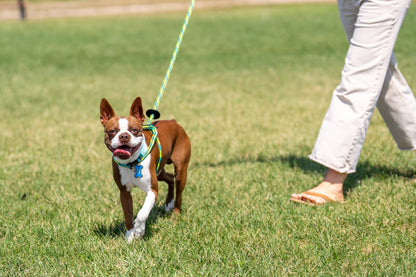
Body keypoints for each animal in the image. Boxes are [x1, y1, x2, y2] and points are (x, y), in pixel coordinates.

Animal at [100, 98, 191, 240]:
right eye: (113, 131)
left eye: (134, 130)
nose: (124, 136)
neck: (132, 163)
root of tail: (173, 122)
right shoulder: (124, 192)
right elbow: (128, 215)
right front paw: (130, 238)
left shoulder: (152, 190)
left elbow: (142, 213)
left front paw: (139, 230)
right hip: (159, 170)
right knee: (170, 178)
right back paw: (168, 203)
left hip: (180, 171)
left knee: (179, 193)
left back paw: (175, 213)